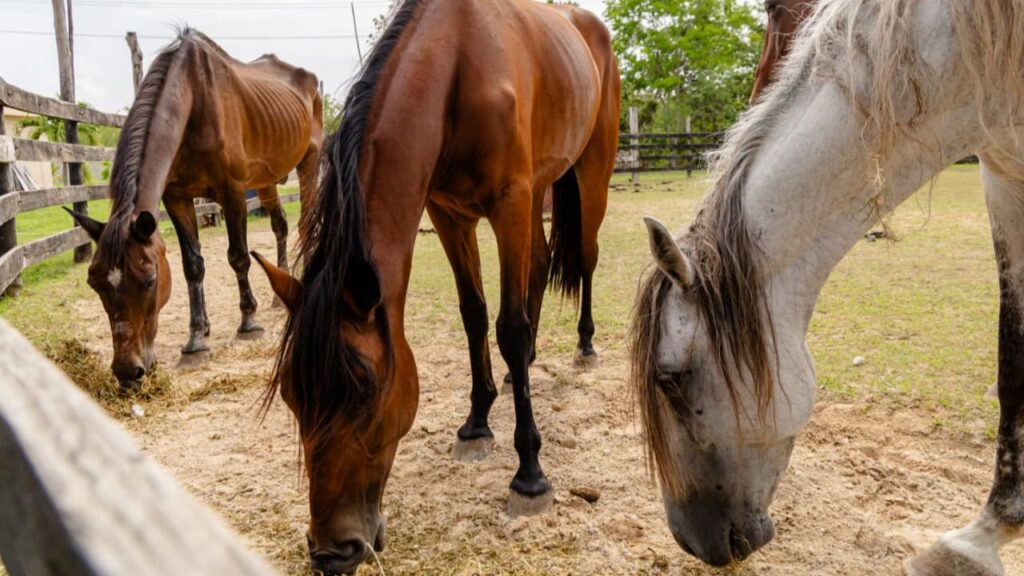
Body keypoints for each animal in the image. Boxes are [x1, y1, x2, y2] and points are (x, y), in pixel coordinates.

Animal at [67, 29, 323, 387]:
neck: (193, 99)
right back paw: (278, 293)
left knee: (304, 223)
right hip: (267, 180)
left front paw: (248, 322)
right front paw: (197, 339)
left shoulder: (232, 193)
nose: (128, 372)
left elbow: (238, 257)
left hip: (308, 162)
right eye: (95, 283)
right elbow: (193, 265)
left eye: (149, 281)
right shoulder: (177, 198)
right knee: (281, 227)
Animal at [251, 0, 619, 573]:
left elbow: (508, 328)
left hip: (591, 174)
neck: (459, 63)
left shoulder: (509, 201)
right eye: (292, 396)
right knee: (537, 267)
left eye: (365, 395)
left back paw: (584, 345)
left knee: (585, 256)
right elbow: (474, 313)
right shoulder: (448, 213)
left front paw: (530, 475)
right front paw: (477, 422)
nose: (332, 552)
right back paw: (522, 371)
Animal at [630, 0, 1024, 573]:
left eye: (671, 380)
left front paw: (973, 541)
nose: (691, 540)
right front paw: (983, 536)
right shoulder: (1004, 174)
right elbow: (1013, 364)